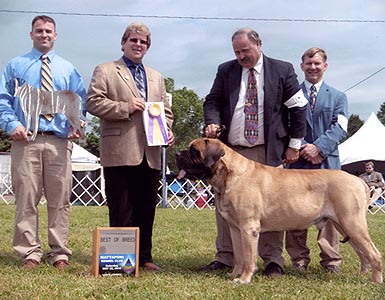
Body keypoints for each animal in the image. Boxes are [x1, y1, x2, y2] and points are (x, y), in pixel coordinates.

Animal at [176, 138, 380, 284]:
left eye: (194, 151)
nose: (178, 153)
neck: (229, 175)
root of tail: (358, 180)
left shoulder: (249, 228)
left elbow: (248, 257)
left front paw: (244, 279)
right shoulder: (235, 229)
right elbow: (239, 257)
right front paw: (234, 275)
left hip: (352, 223)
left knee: (374, 254)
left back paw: (375, 282)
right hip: (344, 226)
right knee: (363, 253)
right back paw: (363, 275)